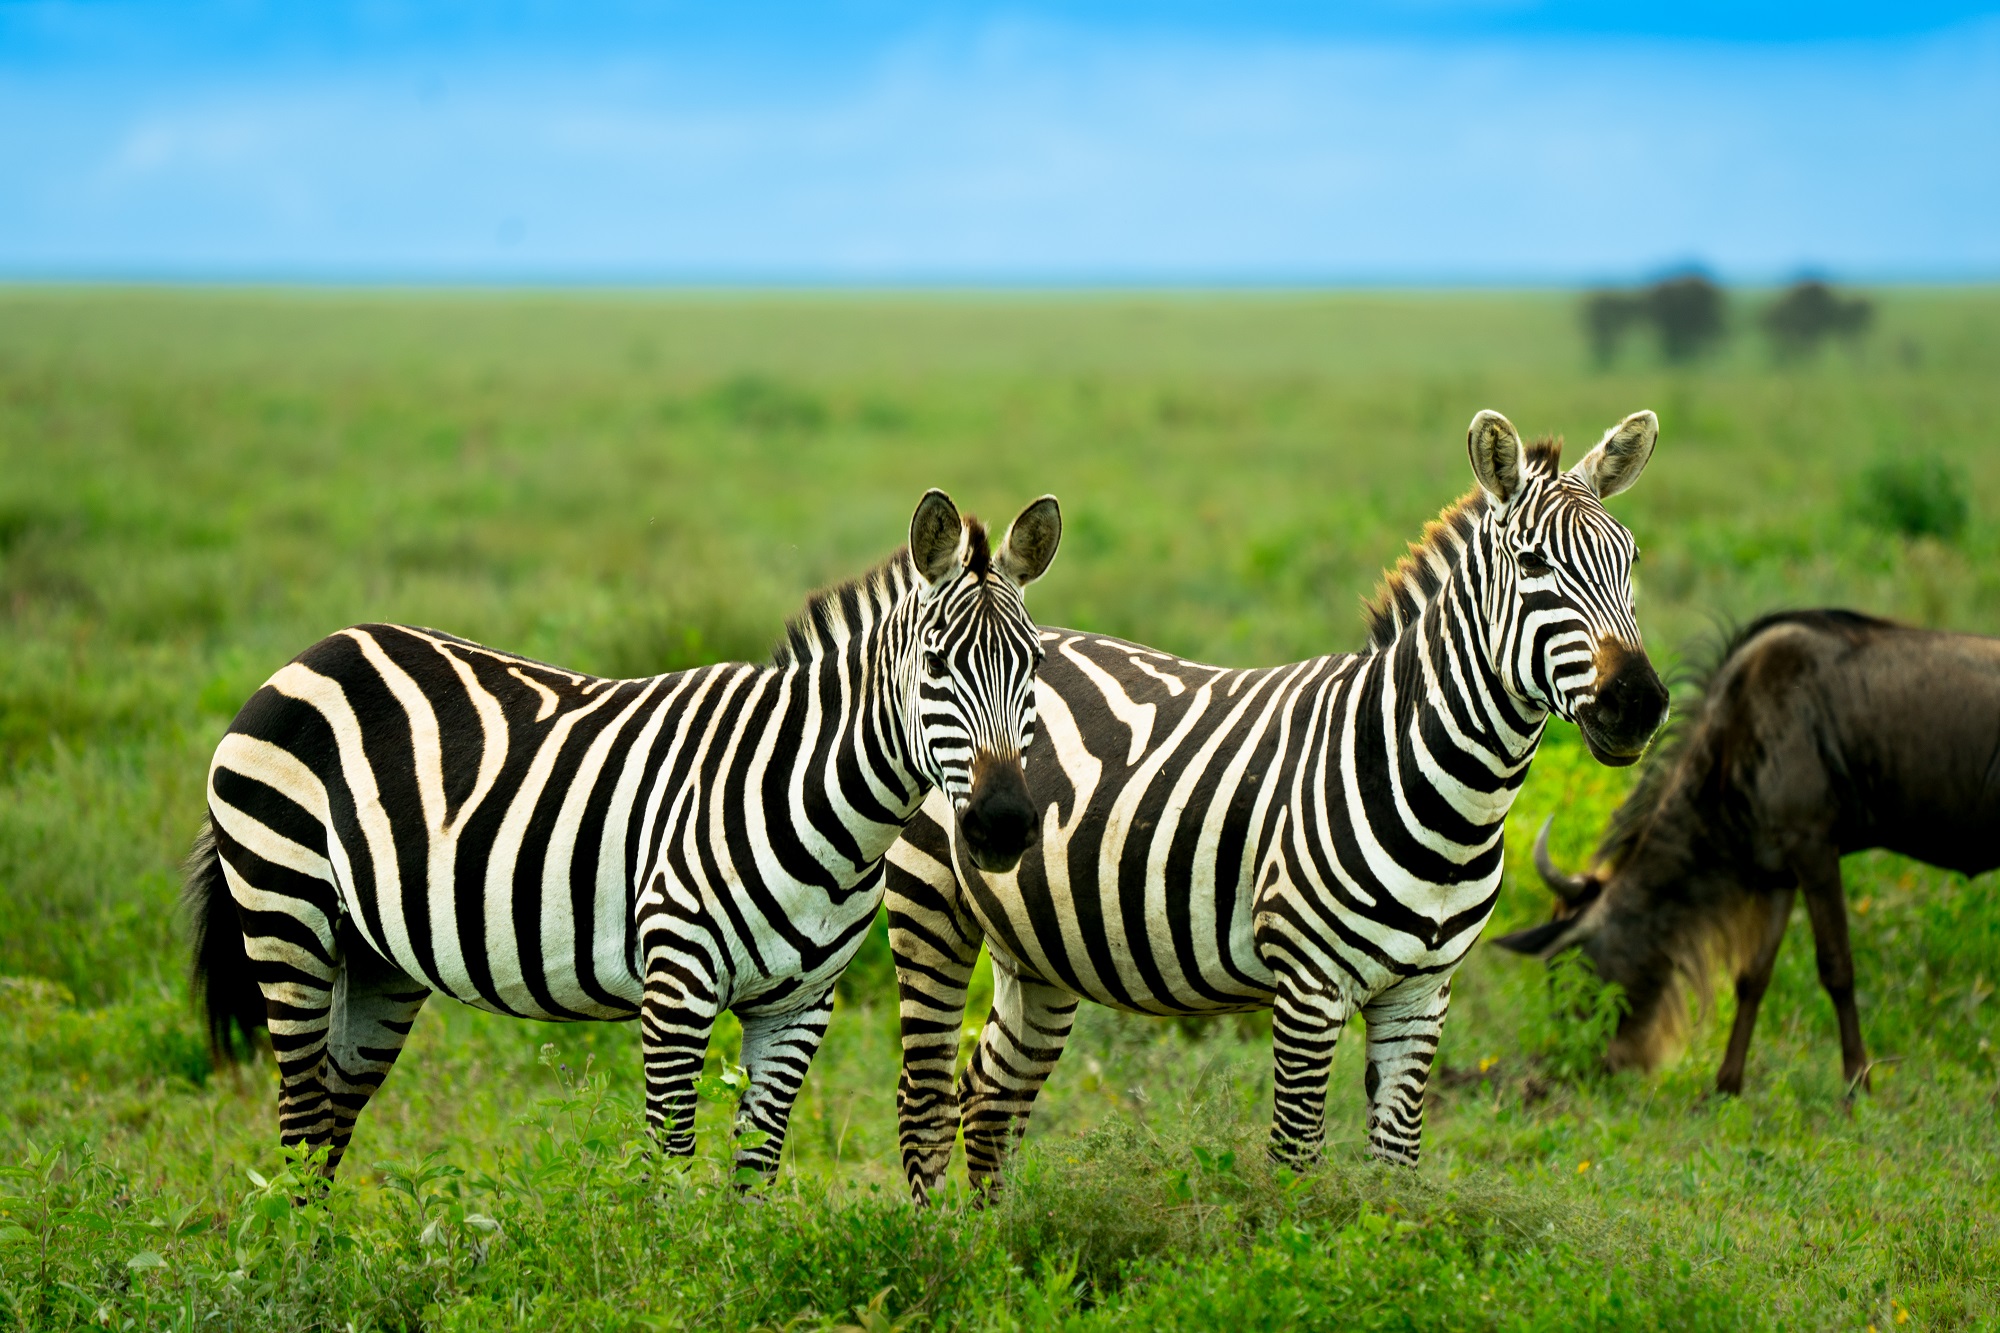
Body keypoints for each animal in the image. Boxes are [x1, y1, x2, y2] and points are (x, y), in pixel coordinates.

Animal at [185, 488, 1062, 1182]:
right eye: (936, 666)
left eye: (1035, 666)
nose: (1003, 823)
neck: (823, 810)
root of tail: (313, 651)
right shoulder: (678, 981)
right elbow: (668, 1160)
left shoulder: (801, 1005)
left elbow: (757, 1165)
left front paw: (746, 1270)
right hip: (284, 909)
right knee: (301, 1114)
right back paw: (305, 1264)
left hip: (376, 956)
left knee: (328, 1120)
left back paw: (328, 1252)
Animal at [887, 411, 1669, 1201]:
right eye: (1534, 562)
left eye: (1632, 560)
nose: (1638, 703)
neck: (1445, 794)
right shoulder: (1309, 986)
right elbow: (1294, 1158)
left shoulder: (1422, 996)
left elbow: (1397, 1168)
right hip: (930, 907)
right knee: (925, 1098)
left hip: (1039, 951)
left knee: (991, 1095)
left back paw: (1002, 1228)